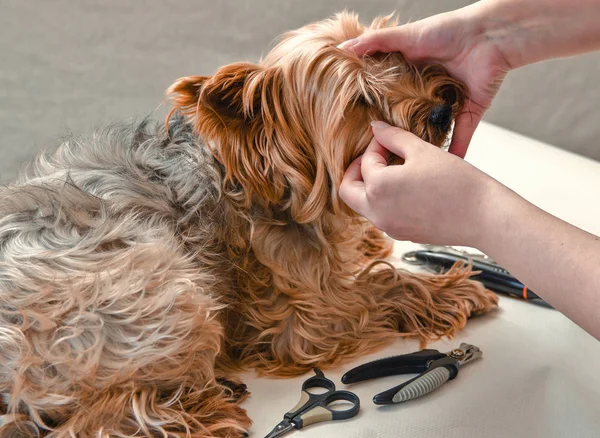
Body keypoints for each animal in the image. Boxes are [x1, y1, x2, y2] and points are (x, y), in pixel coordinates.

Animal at [0, 12, 496, 436]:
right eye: (360, 101)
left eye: (395, 59)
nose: (441, 110)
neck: (257, 178)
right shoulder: (306, 320)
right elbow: (382, 286)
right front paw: (454, 289)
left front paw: (370, 240)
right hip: (159, 294)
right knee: (101, 418)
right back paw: (207, 413)